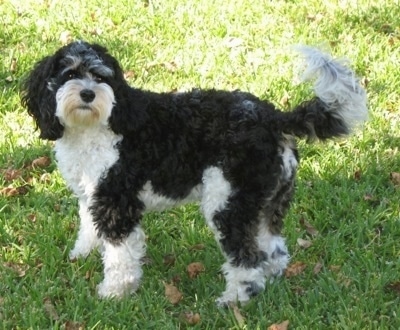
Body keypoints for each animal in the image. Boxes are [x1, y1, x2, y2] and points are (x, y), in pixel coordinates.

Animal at [21, 41, 366, 306]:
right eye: (69, 74)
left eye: (99, 77)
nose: (88, 94)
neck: (98, 124)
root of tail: (271, 116)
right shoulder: (90, 195)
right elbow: (88, 228)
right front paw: (83, 254)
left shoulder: (116, 203)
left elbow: (120, 256)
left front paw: (115, 292)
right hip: (266, 202)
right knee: (274, 250)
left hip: (228, 204)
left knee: (247, 258)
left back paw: (236, 299)